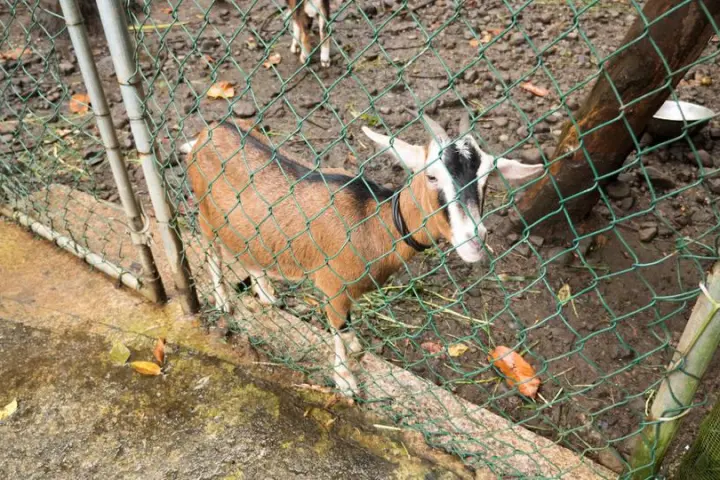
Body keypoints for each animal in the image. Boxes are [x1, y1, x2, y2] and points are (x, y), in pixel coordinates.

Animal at [181, 114, 544, 397]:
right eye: (431, 175)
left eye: (487, 181)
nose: (474, 240)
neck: (372, 222)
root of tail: (208, 132)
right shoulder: (333, 289)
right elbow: (339, 332)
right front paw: (346, 382)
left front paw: (357, 350)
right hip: (205, 214)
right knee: (213, 253)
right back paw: (223, 302)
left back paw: (267, 294)